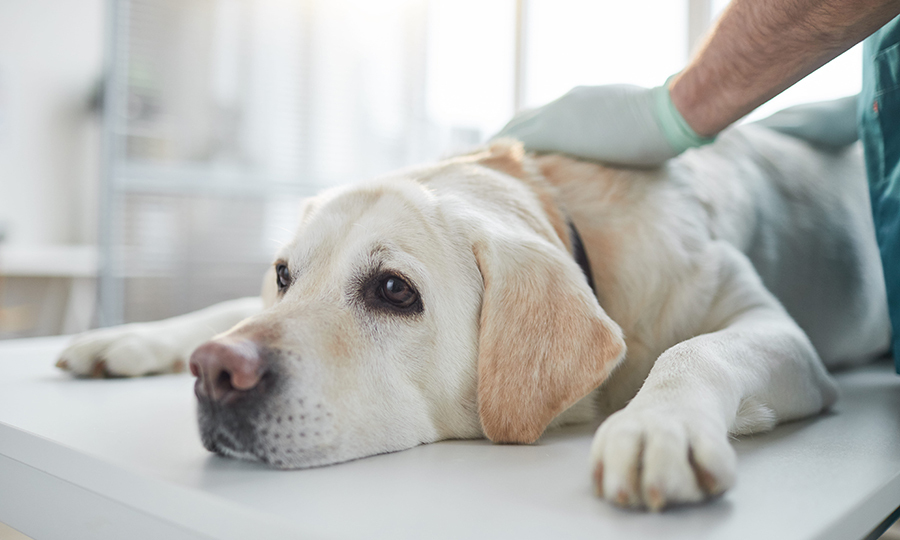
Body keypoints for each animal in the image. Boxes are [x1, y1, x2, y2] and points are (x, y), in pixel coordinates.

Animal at [52, 124, 888, 512]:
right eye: (285, 275)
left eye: (394, 291)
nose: (215, 372)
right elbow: (229, 303)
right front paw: (125, 337)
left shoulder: (777, 332)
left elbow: (697, 350)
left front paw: (659, 427)